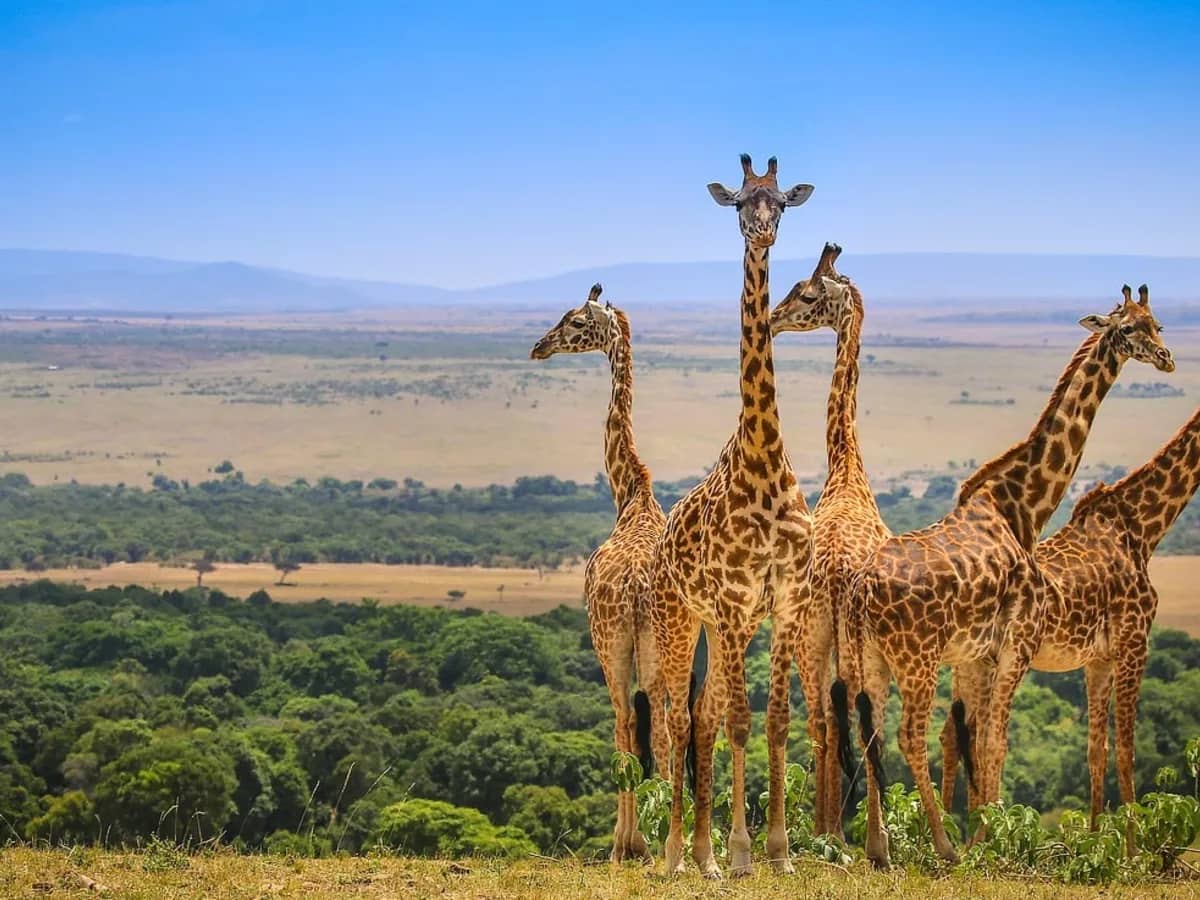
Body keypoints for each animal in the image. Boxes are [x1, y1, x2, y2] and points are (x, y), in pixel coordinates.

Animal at [941, 392, 1196, 844]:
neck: (1143, 528)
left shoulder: (1098, 659)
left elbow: (1097, 750)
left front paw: (1095, 840)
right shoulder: (1136, 641)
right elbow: (1127, 749)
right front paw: (1131, 851)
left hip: (971, 661)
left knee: (954, 733)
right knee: (974, 736)